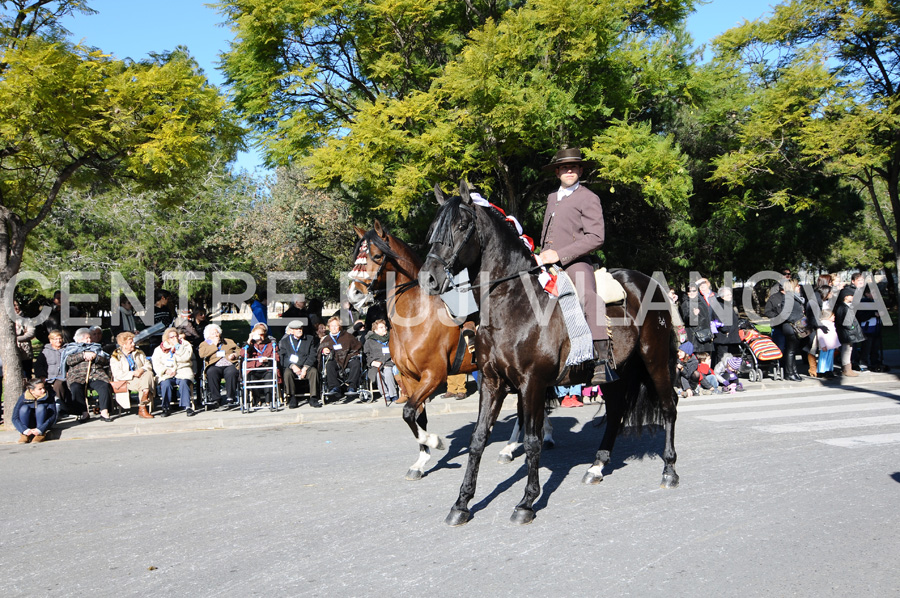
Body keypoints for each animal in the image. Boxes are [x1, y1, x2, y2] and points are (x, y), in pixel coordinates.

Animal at [350, 223, 482, 480]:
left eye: (377, 256)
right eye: (356, 256)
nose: (354, 293)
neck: (416, 315)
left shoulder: (433, 375)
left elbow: (408, 412)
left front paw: (434, 442)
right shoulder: (411, 379)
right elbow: (417, 415)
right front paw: (421, 461)